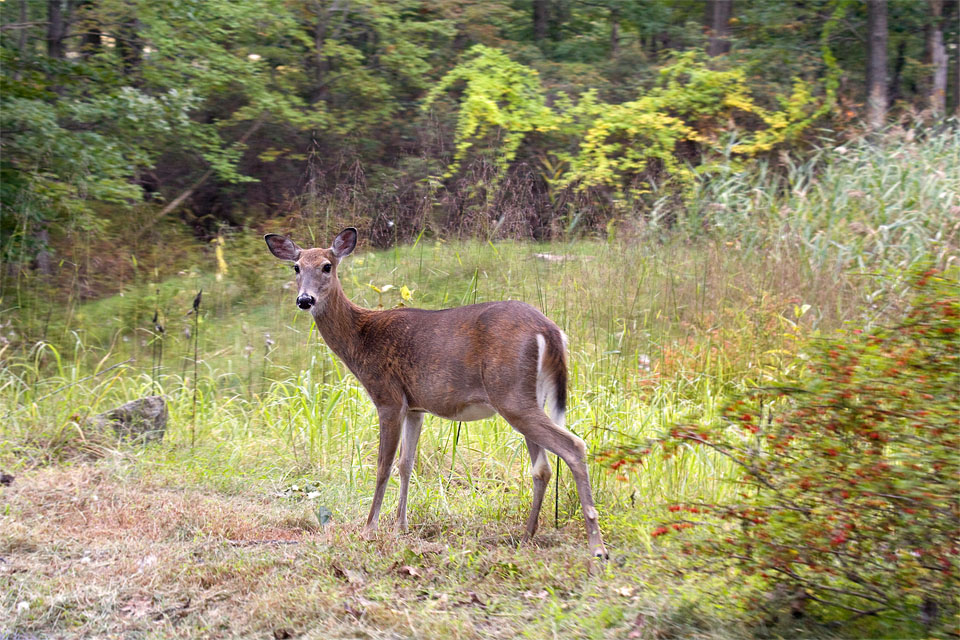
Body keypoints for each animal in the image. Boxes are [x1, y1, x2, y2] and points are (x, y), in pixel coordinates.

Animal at [264, 228, 608, 556]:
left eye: (327, 266)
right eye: (296, 267)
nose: (305, 300)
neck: (361, 337)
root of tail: (551, 330)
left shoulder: (387, 397)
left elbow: (383, 465)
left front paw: (370, 528)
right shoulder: (415, 406)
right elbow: (406, 464)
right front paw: (401, 526)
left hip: (511, 394)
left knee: (574, 446)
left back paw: (597, 546)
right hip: (527, 396)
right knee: (543, 467)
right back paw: (526, 536)